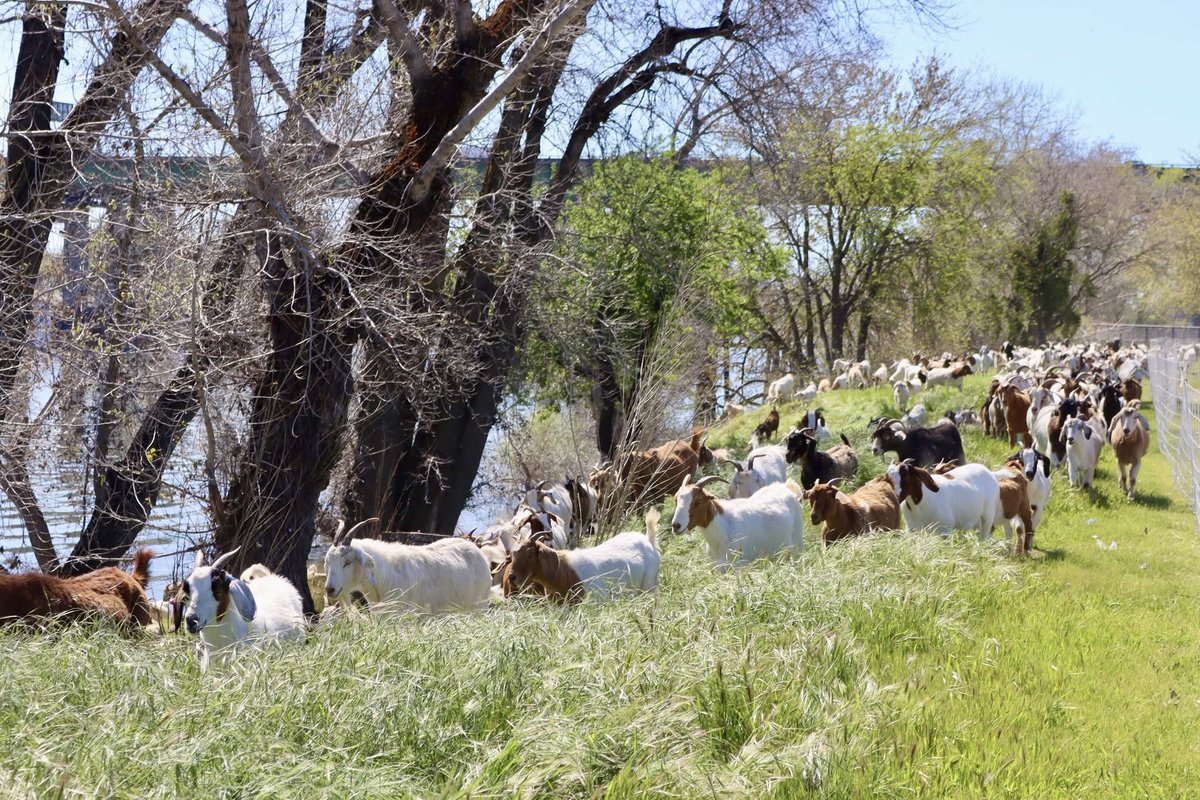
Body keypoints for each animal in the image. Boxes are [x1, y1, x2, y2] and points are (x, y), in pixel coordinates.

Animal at [504, 510, 661, 602]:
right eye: (512, 556)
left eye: (530, 554)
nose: (512, 577)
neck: (564, 571)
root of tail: (648, 540)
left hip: (649, 587)